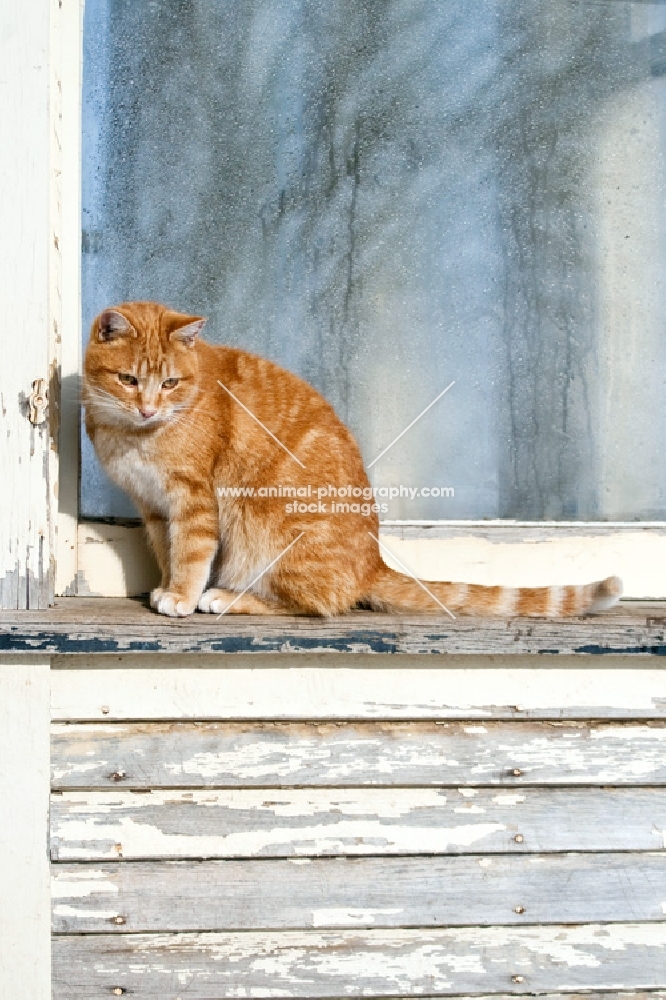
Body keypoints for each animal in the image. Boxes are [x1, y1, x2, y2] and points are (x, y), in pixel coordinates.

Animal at [84, 300, 624, 616]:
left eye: (170, 382)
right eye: (129, 380)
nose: (148, 406)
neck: (134, 433)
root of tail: (373, 562)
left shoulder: (193, 502)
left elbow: (192, 554)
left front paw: (183, 595)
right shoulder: (154, 508)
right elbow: (167, 551)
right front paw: (166, 585)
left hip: (264, 528)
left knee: (314, 606)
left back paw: (227, 598)